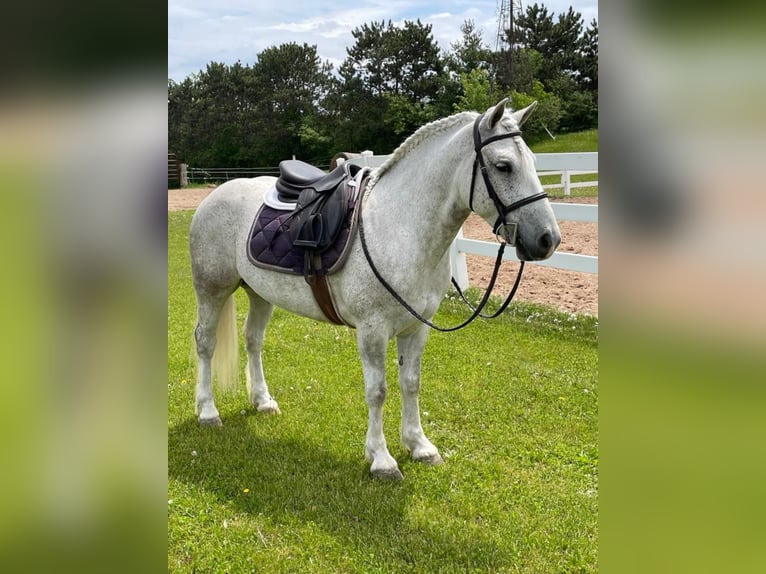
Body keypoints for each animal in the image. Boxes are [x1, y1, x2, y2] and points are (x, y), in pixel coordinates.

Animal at [189, 100, 560, 482]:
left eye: (533, 161)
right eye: (503, 166)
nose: (548, 239)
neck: (399, 228)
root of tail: (216, 194)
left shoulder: (417, 327)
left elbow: (410, 382)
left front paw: (419, 446)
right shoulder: (372, 331)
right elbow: (377, 391)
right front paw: (381, 459)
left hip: (260, 294)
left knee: (253, 340)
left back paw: (262, 401)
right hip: (212, 289)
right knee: (205, 341)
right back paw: (208, 411)